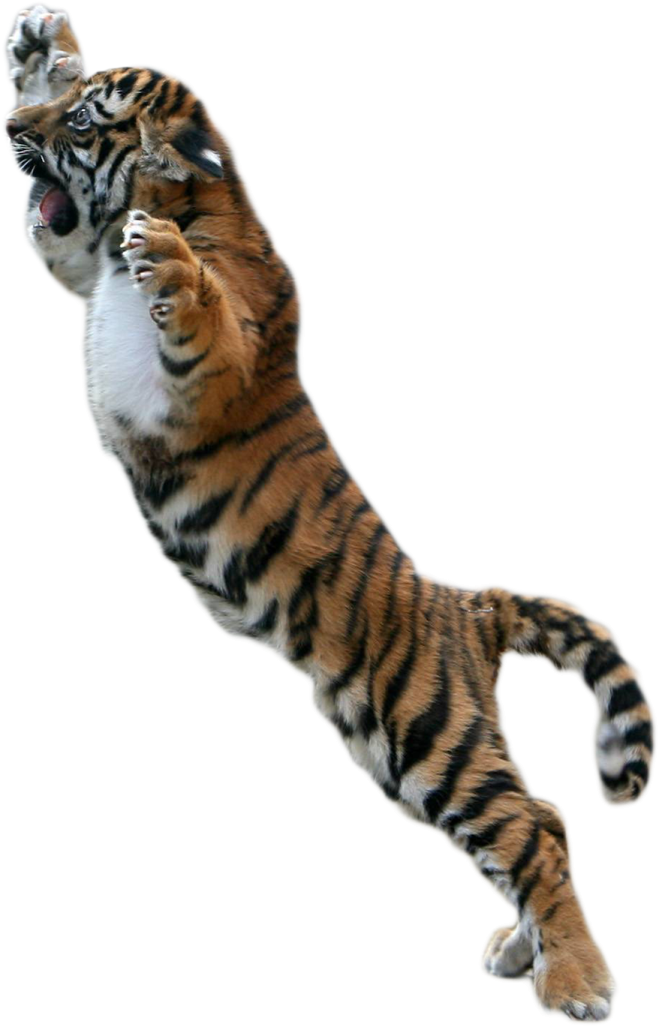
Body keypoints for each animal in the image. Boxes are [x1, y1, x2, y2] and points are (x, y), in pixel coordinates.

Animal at [3, 6, 656, 1022]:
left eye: (81, 122)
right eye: (65, 100)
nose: (10, 133)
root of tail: (463, 602)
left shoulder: (214, 365)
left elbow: (199, 306)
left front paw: (169, 255)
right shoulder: (75, 263)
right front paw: (39, 36)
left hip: (429, 732)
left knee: (531, 827)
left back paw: (579, 984)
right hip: (390, 755)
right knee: (540, 818)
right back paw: (522, 949)